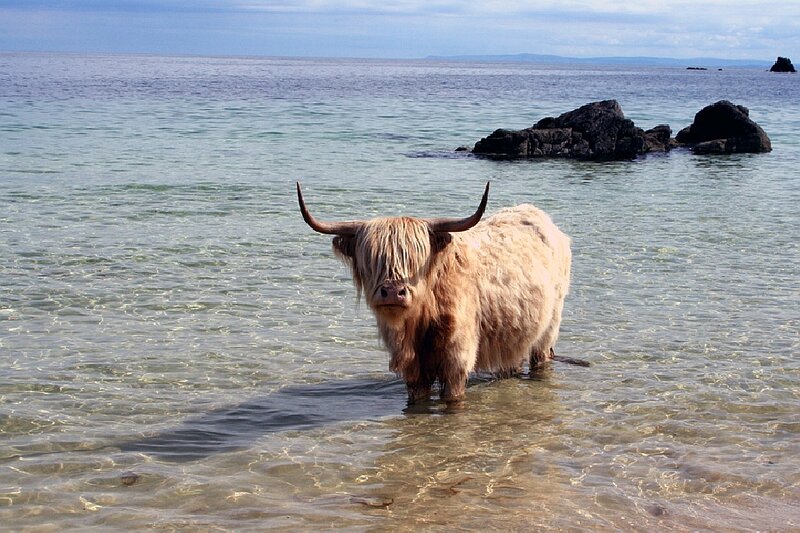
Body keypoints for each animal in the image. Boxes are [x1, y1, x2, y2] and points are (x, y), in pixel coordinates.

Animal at [297, 182, 573, 404]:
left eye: (416, 259)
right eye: (371, 259)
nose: (393, 292)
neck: (420, 320)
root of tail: (539, 215)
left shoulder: (456, 363)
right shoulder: (413, 371)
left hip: (549, 328)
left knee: (540, 357)